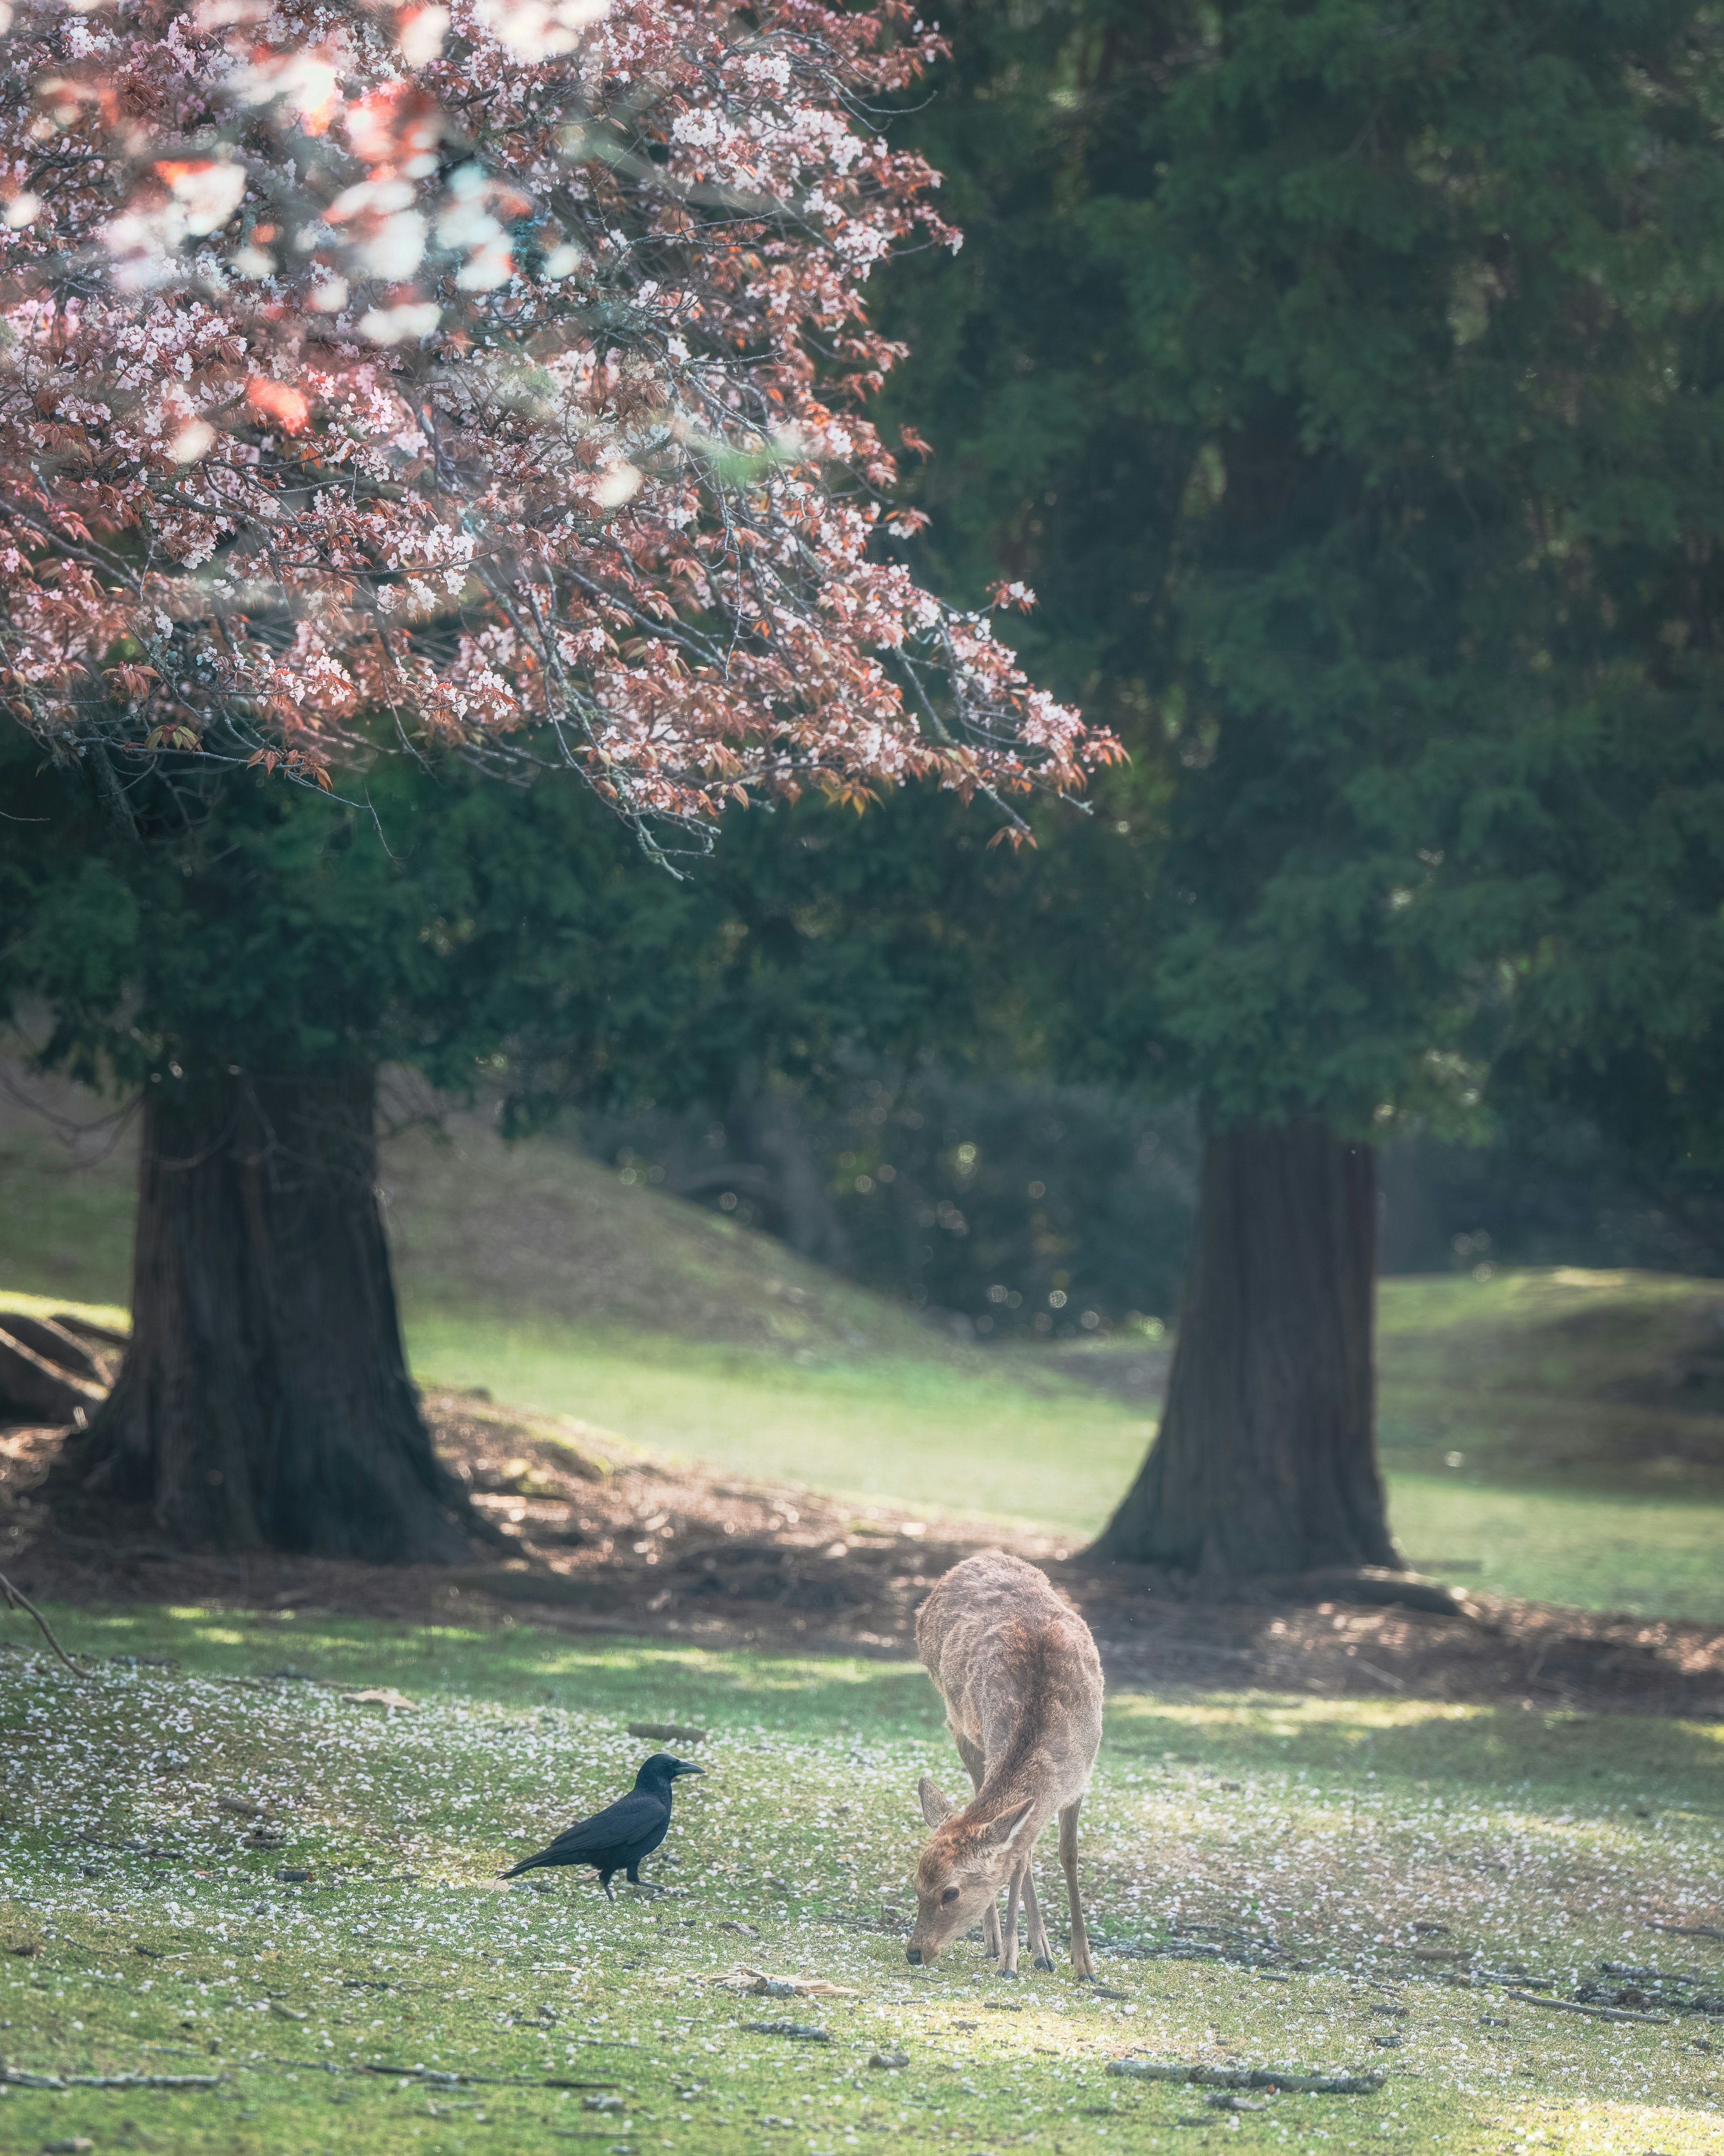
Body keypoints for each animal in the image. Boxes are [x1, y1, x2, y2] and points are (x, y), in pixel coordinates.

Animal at [901, 1552, 1103, 1983]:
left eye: (951, 1892)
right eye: (916, 1884)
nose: (914, 1952)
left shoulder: (1081, 1779)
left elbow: (1068, 1854)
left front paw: (1084, 1963)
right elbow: (1019, 1857)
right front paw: (1011, 1959)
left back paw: (1038, 1949)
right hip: (961, 1726)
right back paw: (1004, 1943)